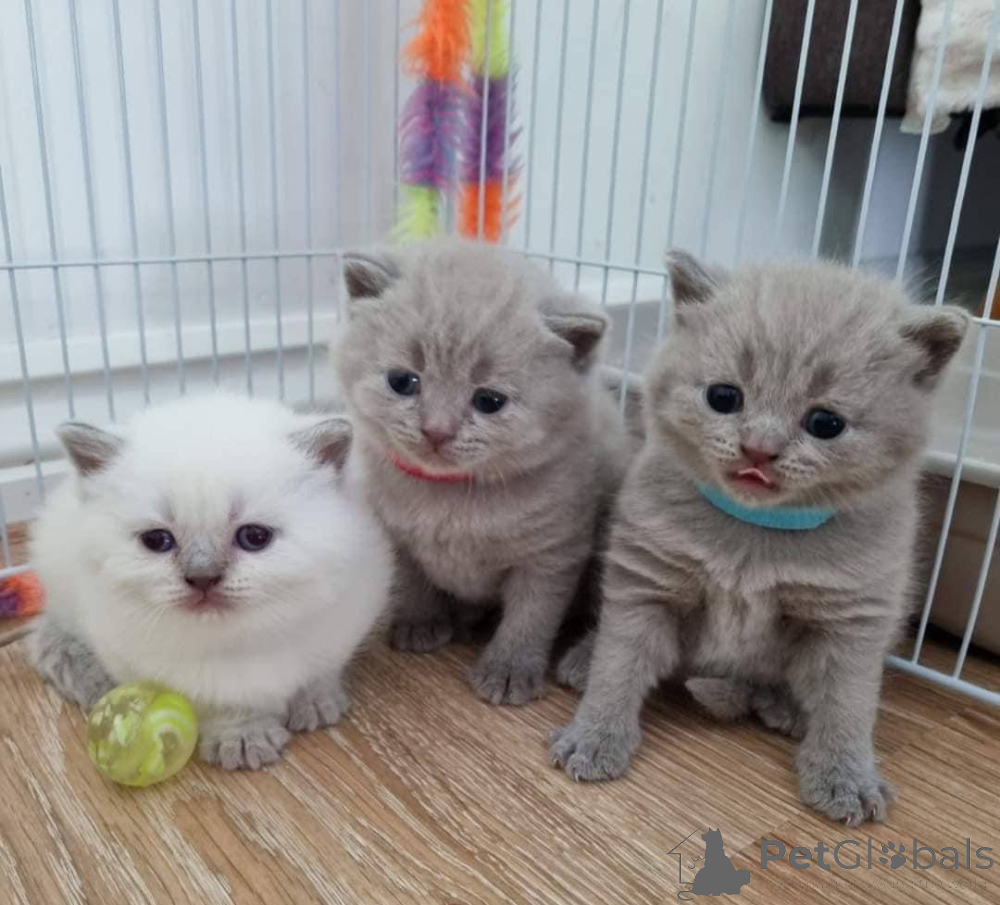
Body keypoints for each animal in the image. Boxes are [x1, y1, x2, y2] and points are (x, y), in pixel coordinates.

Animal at [28, 393, 392, 770]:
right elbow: (225, 705)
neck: (239, 640)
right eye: (156, 541)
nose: (203, 578)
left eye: (255, 537)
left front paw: (317, 703)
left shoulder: (344, 624)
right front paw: (243, 736)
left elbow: (320, 672)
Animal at [334, 238, 627, 705]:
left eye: (489, 401)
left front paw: (509, 669)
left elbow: (531, 616)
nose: (436, 429)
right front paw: (420, 623)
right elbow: (413, 583)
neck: (451, 497)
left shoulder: (552, 553)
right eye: (402, 381)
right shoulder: (398, 538)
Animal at [550, 252, 968, 825]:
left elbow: (848, 705)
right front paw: (593, 736)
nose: (758, 449)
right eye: (724, 397)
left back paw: (782, 708)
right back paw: (582, 658)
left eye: (826, 423)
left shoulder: (852, 622)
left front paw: (846, 776)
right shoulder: (647, 583)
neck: (755, 533)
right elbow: (619, 663)